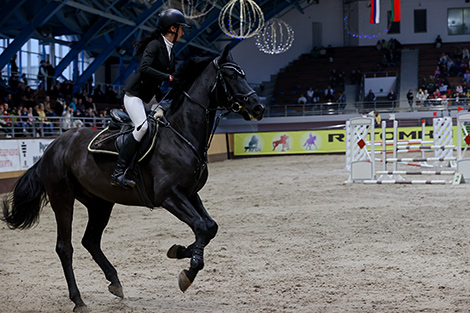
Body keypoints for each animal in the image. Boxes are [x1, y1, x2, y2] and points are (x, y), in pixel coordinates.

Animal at [1, 45, 264, 312]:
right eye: (231, 76)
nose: (258, 108)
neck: (182, 133)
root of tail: (53, 146)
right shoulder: (169, 196)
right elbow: (201, 226)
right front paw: (189, 272)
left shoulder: (190, 193)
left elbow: (210, 227)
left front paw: (179, 251)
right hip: (62, 198)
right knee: (66, 247)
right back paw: (78, 300)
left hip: (100, 202)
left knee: (90, 241)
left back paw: (115, 282)